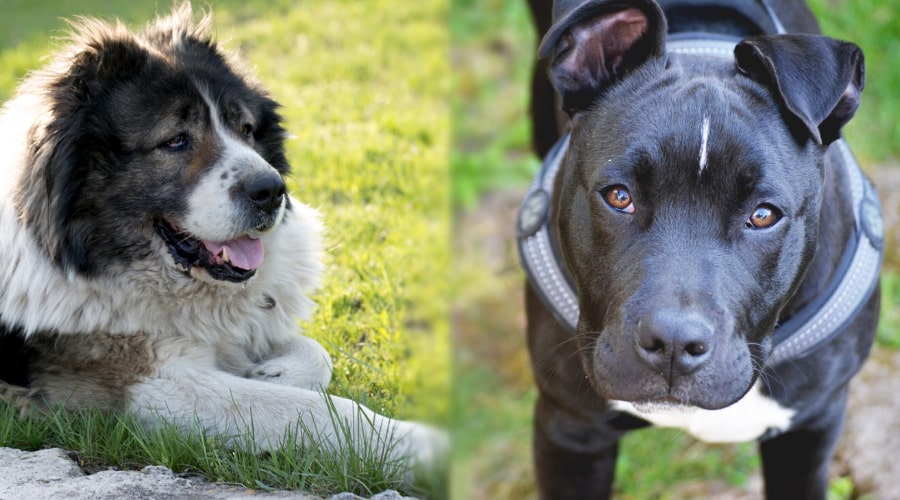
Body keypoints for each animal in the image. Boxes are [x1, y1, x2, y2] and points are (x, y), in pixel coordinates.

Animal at [0, 2, 442, 464]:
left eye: (245, 130)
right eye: (176, 140)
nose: (272, 191)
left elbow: (315, 354)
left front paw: (272, 371)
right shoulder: (143, 383)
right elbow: (317, 410)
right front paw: (419, 445)